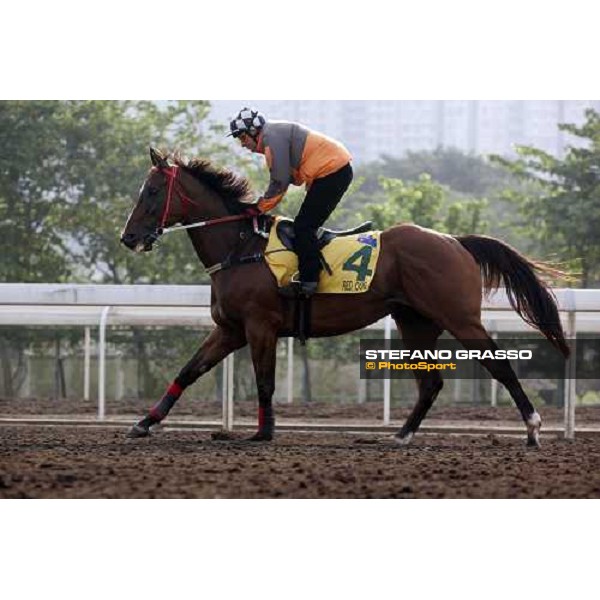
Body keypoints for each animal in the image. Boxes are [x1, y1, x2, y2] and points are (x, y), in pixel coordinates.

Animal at [119, 146, 568, 446]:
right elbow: (188, 371)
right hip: (415, 321)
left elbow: (264, 381)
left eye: (153, 191)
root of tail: (455, 242)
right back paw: (401, 435)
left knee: (499, 365)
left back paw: (532, 428)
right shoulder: (230, 329)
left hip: (459, 317)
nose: (129, 237)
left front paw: (264, 433)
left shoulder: (260, 326)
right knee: (431, 383)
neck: (241, 246)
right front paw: (144, 423)